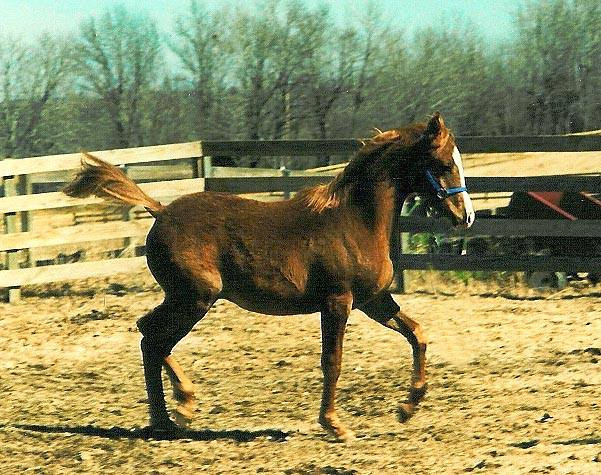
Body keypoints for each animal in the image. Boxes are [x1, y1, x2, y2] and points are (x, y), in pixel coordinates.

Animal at [64, 112, 474, 442]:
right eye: (443, 165)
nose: (466, 216)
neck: (355, 220)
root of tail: (161, 210)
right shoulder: (337, 302)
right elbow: (333, 361)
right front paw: (334, 425)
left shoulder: (373, 300)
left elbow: (418, 334)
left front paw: (408, 408)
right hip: (195, 297)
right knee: (153, 338)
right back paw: (175, 412)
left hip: (187, 299)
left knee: (149, 334)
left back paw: (174, 412)